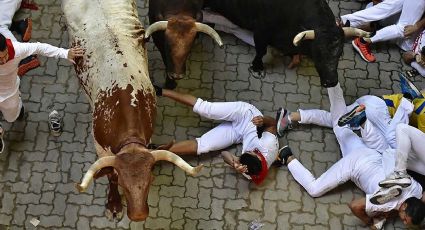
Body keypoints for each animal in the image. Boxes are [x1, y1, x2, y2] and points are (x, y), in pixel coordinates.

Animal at [60, 0, 204, 222]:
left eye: (151, 178)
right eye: (122, 183)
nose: (138, 215)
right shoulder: (100, 148)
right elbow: (109, 173)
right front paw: (114, 204)